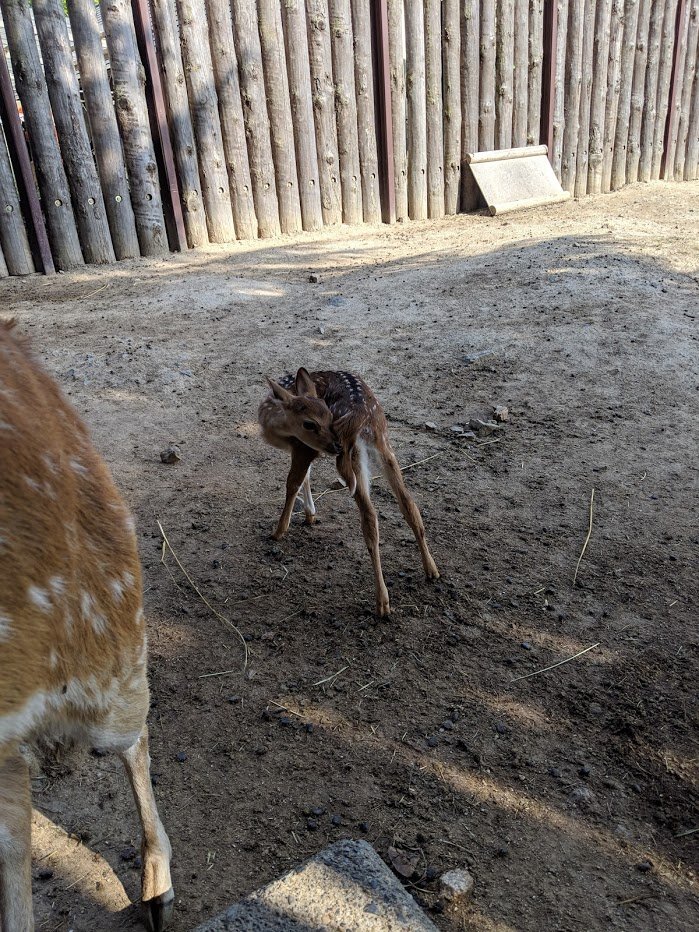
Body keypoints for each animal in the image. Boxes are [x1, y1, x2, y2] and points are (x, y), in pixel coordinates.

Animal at [258, 367, 440, 616]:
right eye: (311, 423)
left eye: (327, 417)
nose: (334, 445)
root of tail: (363, 414)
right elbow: (306, 477)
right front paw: (310, 514)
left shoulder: (303, 448)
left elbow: (293, 482)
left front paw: (278, 531)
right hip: (383, 442)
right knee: (408, 503)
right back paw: (431, 570)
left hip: (352, 457)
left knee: (370, 516)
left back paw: (382, 603)